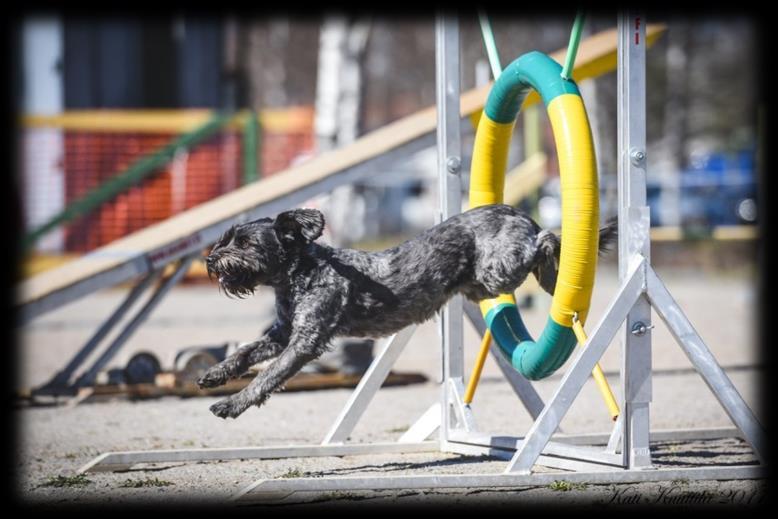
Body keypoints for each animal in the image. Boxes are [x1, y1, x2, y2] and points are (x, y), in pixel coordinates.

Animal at [203, 203, 616, 418]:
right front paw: (215, 373)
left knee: (545, 241)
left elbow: (266, 377)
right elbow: (245, 353)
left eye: (245, 243)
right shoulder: (283, 333)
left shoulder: (304, 342)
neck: (301, 273)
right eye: (229, 237)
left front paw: (232, 403)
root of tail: (515, 212)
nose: (210, 260)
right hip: (483, 284)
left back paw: (552, 258)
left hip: (498, 270)